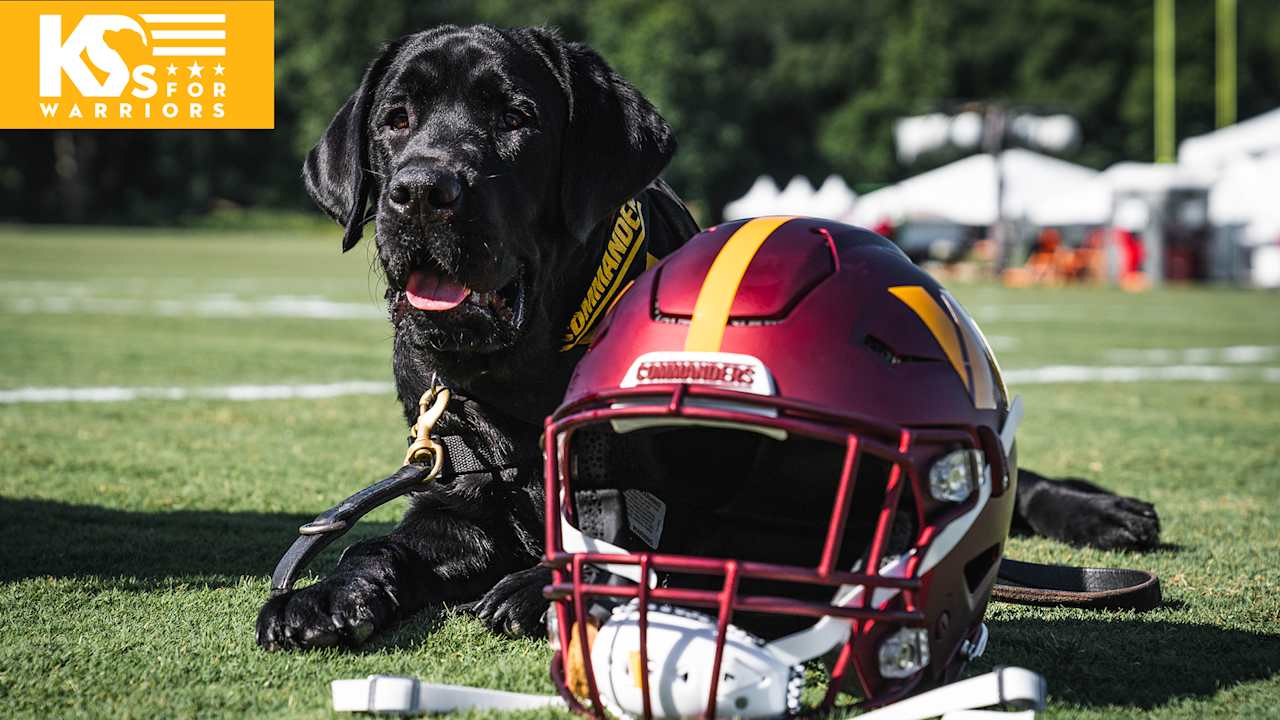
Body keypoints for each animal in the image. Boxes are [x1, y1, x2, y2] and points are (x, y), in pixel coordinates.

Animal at [254, 25, 1157, 648]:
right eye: (395, 118)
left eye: (516, 116)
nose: (421, 190)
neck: (527, 376)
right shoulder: (456, 497)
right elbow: (380, 545)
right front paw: (323, 596)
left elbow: (653, 538)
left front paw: (537, 586)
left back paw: (1107, 512)